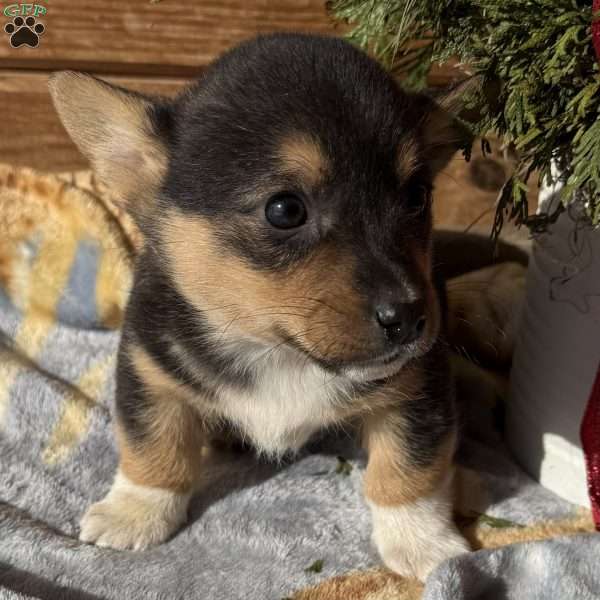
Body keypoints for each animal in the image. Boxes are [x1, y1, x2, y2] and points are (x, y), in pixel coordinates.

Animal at [51, 34, 472, 580]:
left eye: (417, 197)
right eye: (285, 210)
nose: (409, 319)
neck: (276, 351)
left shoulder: (419, 391)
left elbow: (407, 470)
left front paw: (423, 543)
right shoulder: (150, 372)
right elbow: (153, 447)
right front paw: (134, 512)